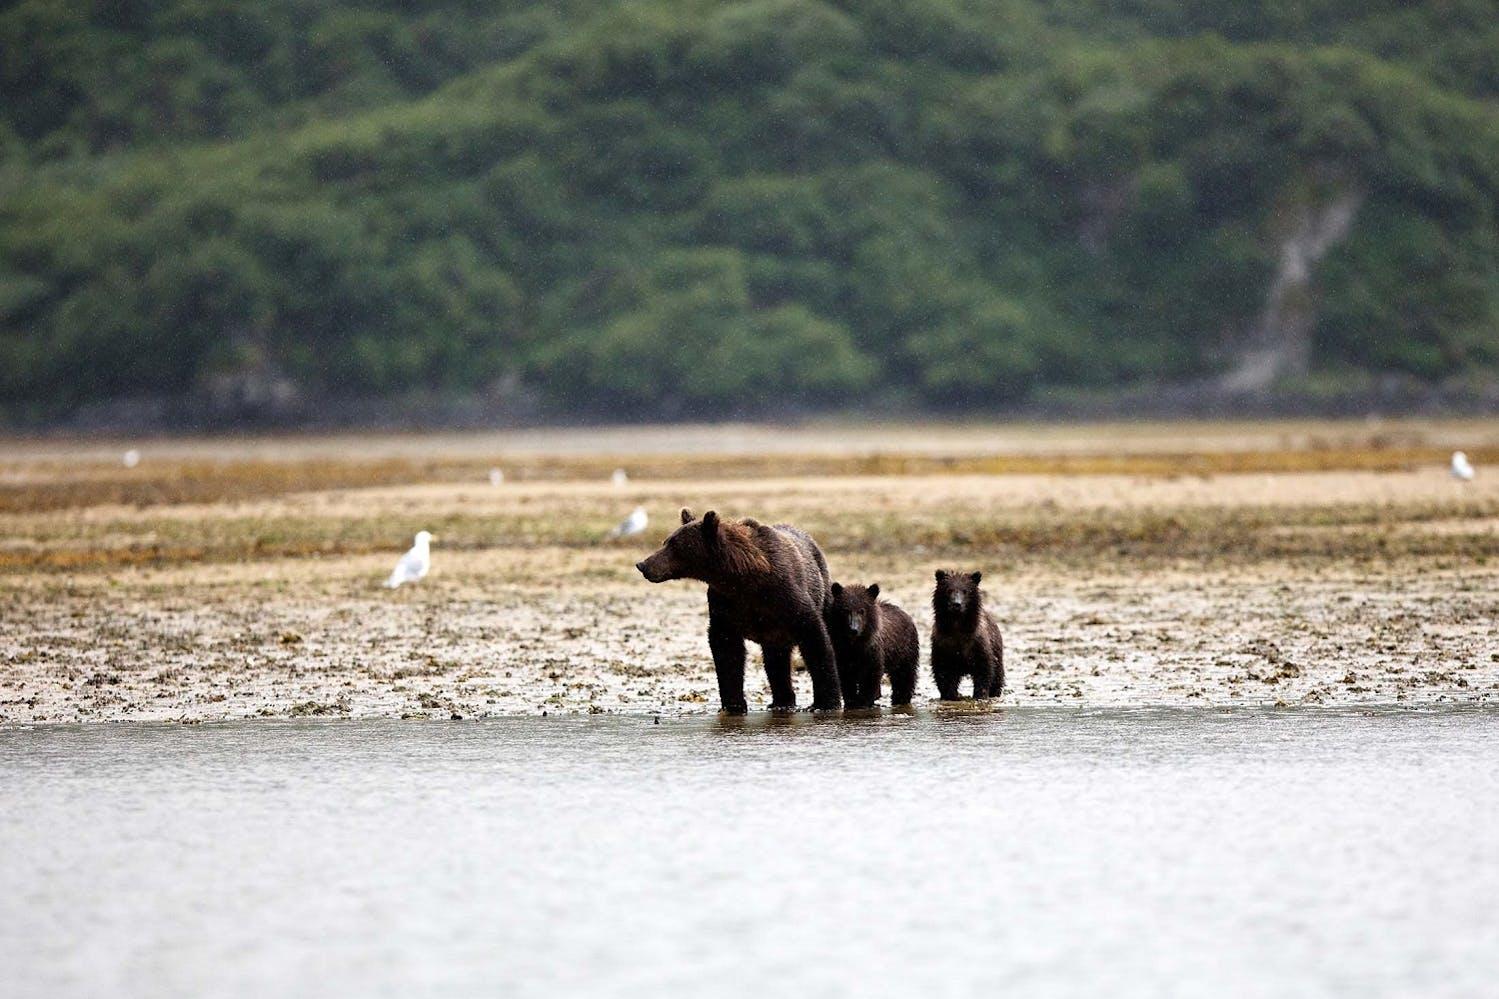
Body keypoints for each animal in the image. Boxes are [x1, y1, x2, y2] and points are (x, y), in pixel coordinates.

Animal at [636, 509, 841, 713]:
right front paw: (733, 704)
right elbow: (726, 650)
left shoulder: (787, 597)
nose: (643, 565)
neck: (742, 579)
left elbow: (814, 639)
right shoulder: (725, 605)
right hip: (774, 633)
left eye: (675, 545)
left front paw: (825, 703)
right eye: (665, 542)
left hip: (822, 589)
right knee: (775, 658)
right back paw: (781, 702)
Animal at [931, 569, 1005, 700]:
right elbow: (943, 670)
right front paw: (950, 695)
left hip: (997, 649)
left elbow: (984, 669)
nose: (957, 604)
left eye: (965, 591)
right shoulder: (943, 643)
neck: (957, 625)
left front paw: (980, 694)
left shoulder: (976, 642)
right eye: (949, 590)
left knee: (997, 675)